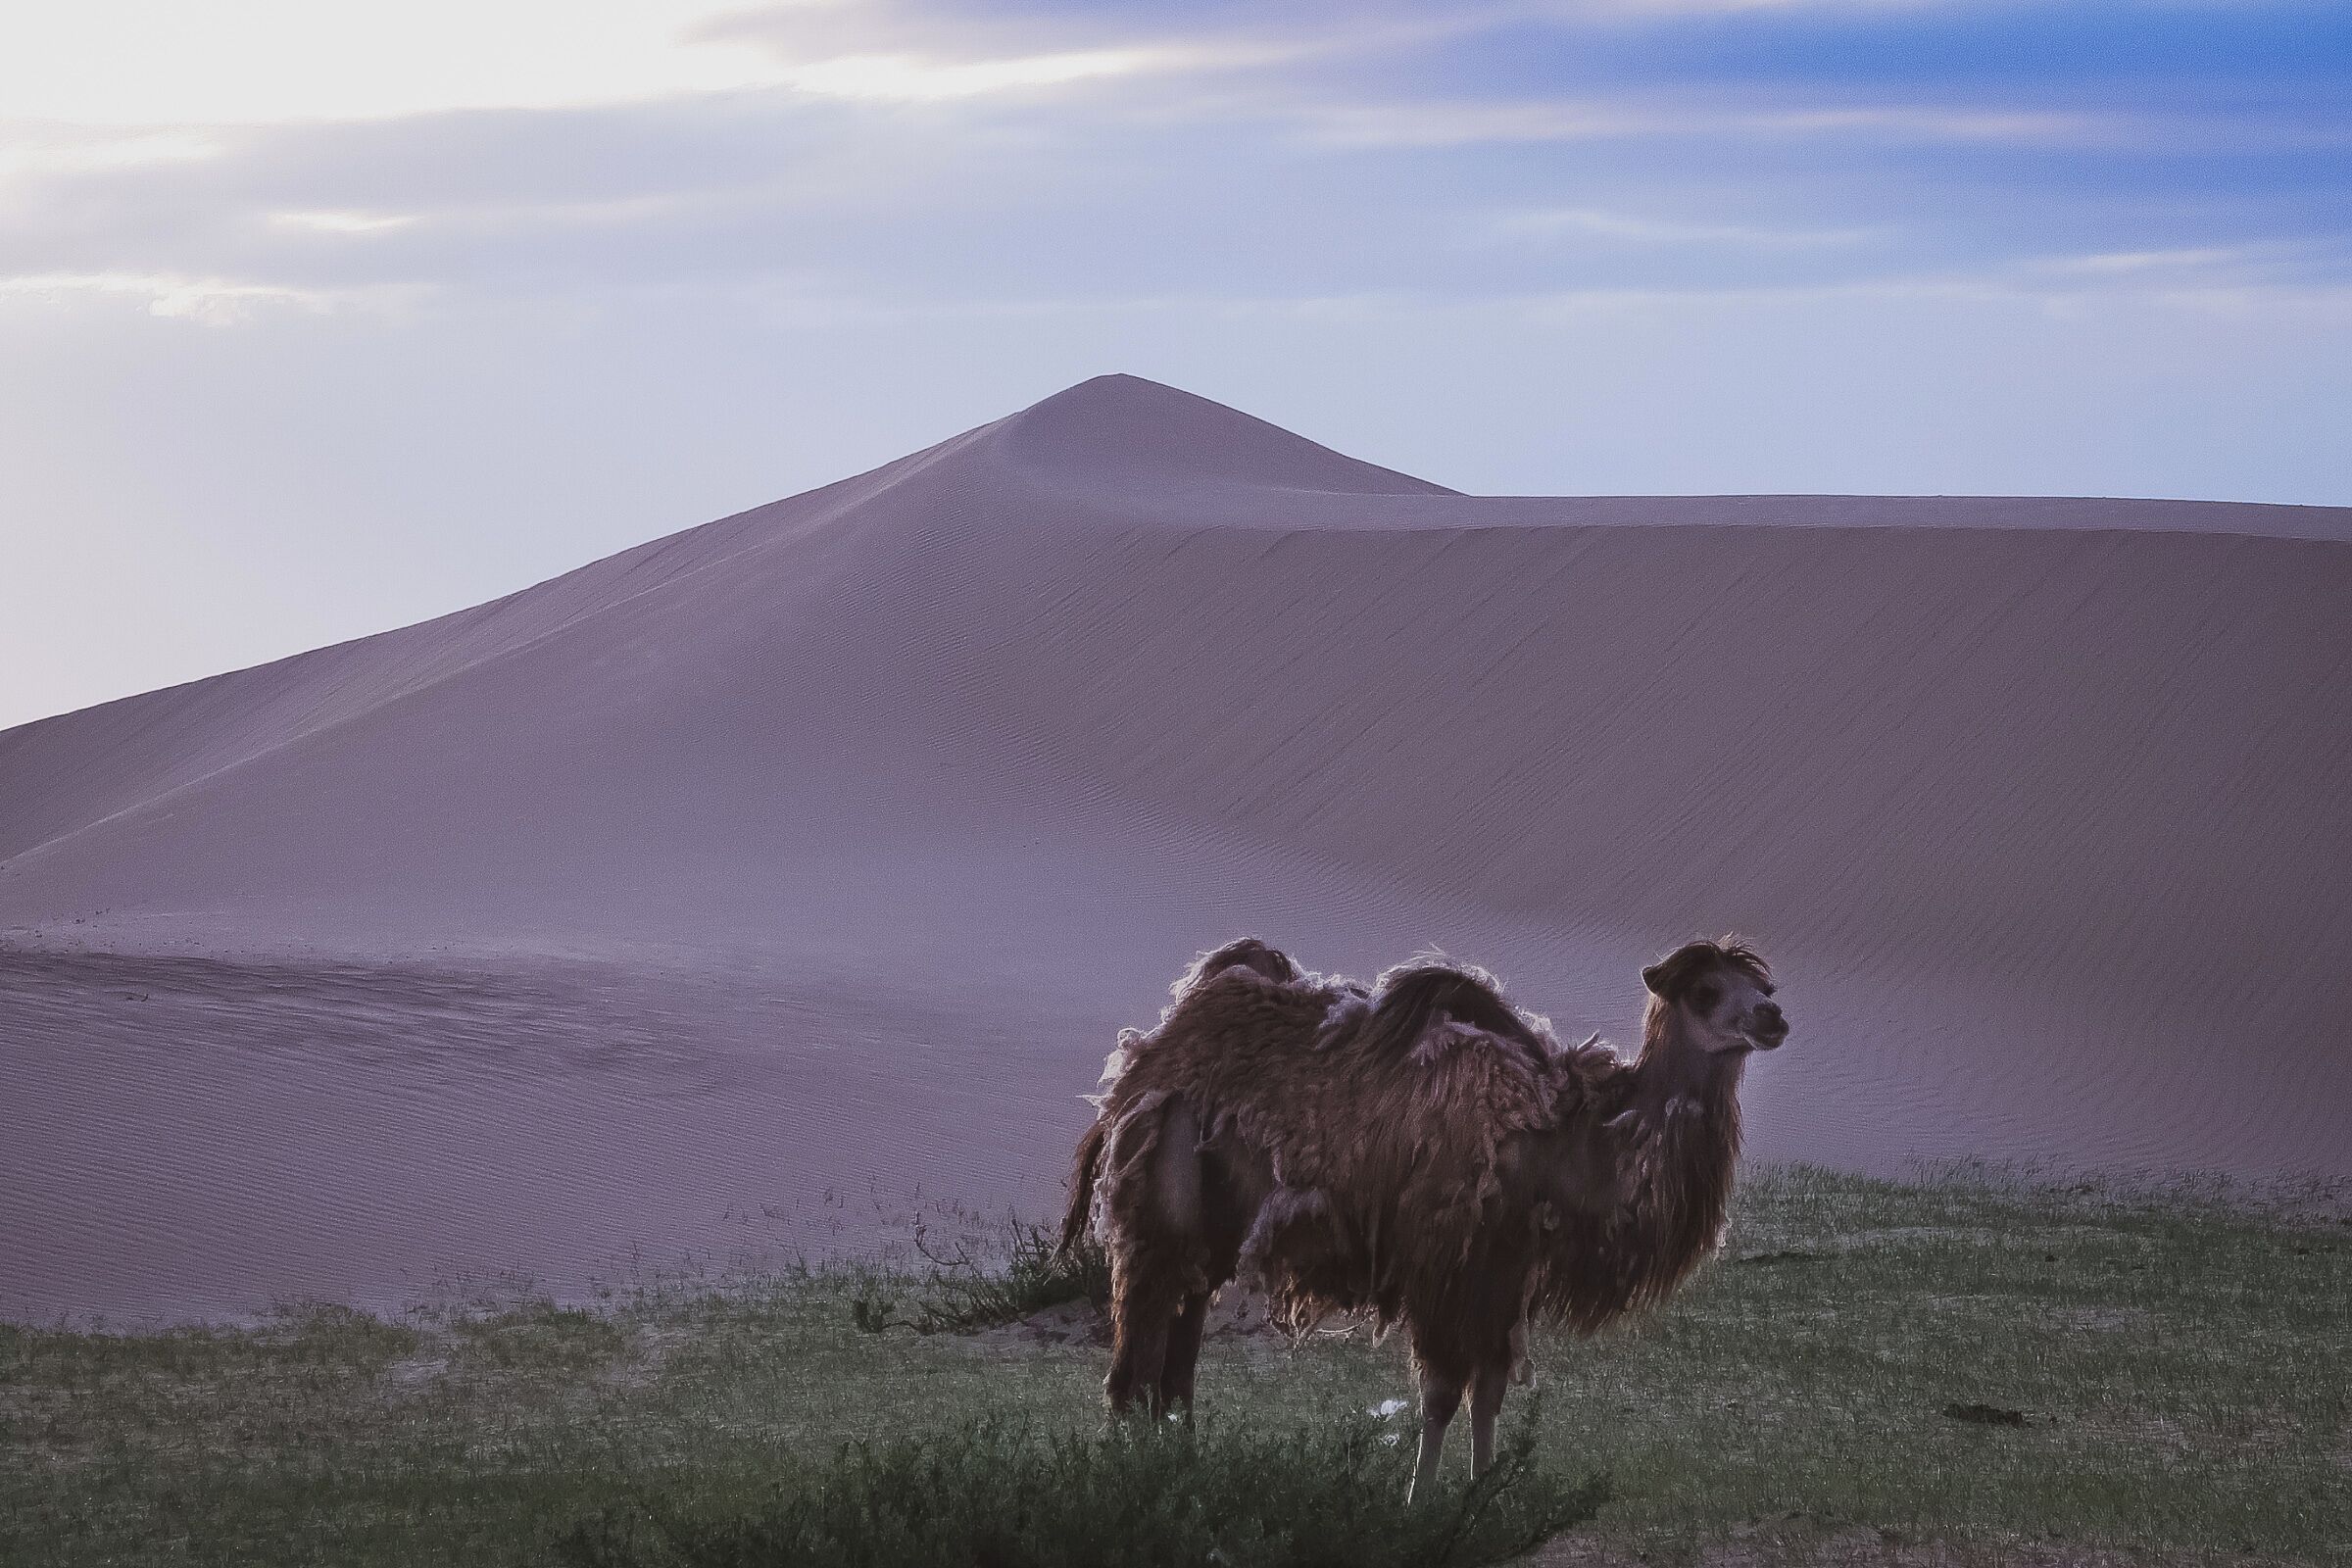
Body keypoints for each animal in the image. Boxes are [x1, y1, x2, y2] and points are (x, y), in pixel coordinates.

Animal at [1060, 936, 1787, 1501]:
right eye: (1705, 991)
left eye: (1761, 983)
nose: (1774, 1018)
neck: (1554, 1135)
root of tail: (1146, 1058)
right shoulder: (1442, 1265)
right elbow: (1441, 1391)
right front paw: (1421, 1499)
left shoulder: (1505, 1271)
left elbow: (1489, 1388)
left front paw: (1484, 1491)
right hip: (1156, 1215)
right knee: (1134, 1359)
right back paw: (1132, 1469)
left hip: (1210, 1236)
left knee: (1176, 1358)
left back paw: (1179, 1461)